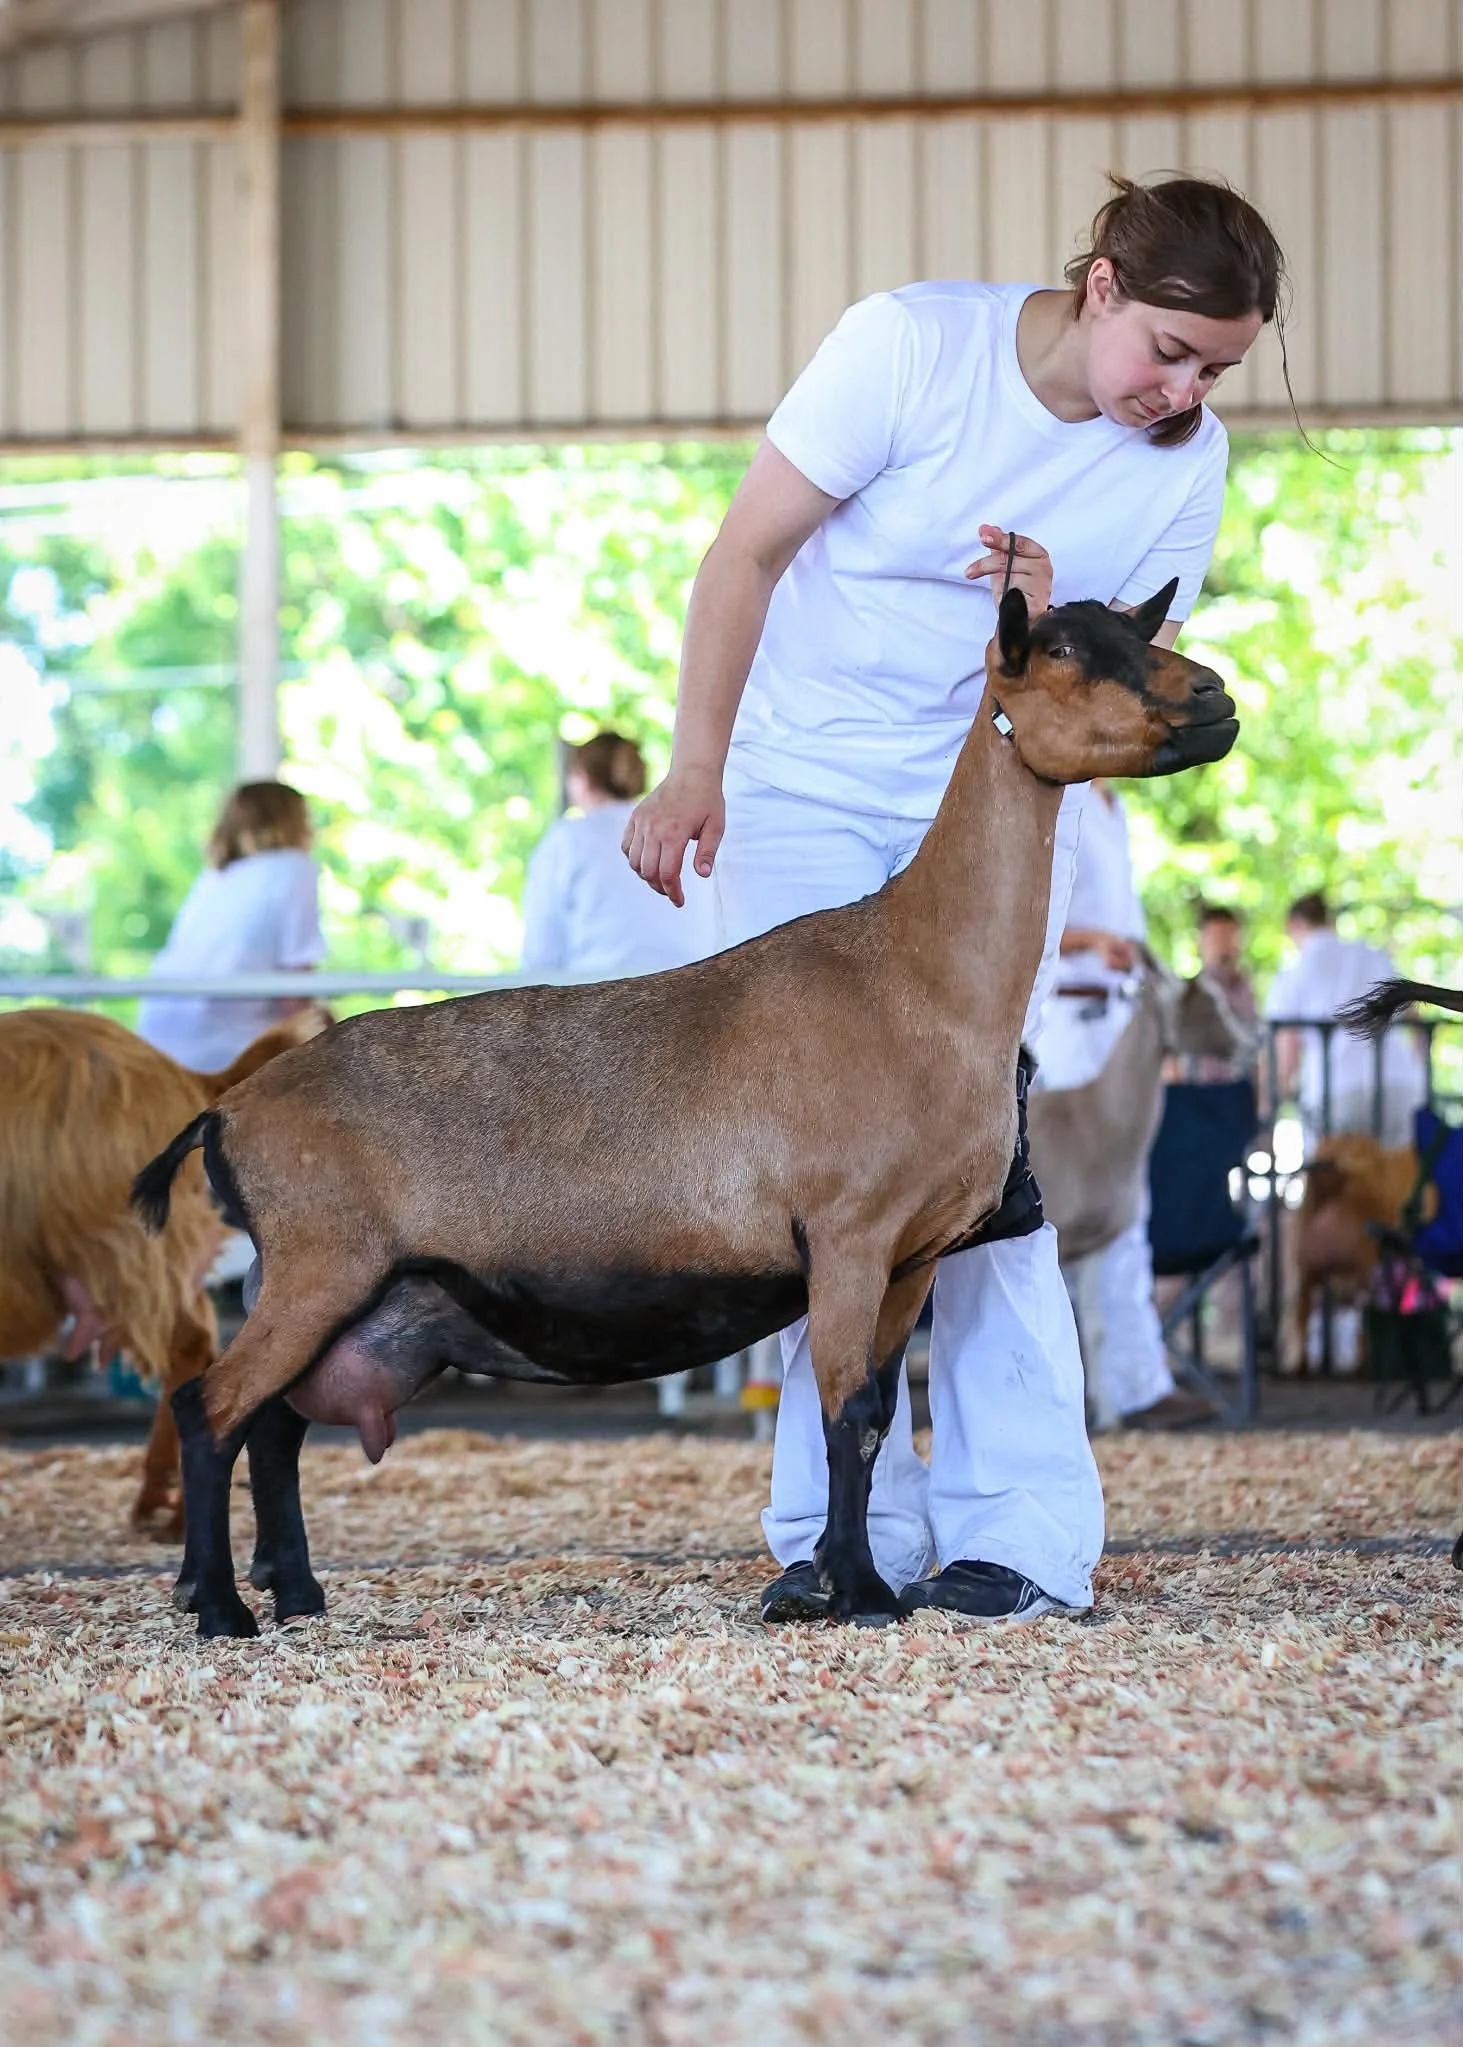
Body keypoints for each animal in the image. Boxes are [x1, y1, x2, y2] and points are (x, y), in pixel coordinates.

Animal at [135, 581, 1238, 1638]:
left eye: (1135, 629)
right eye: (1061, 650)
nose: (1215, 696)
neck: (916, 973)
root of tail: (226, 1110)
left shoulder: (913, 1254)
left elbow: (878, 1417)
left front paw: (835, 1584)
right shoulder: (847, 1235)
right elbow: (846, 1414)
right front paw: (860, 1593)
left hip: (351, 1291)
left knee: (275, 1423)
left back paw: (293, 1591)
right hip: (318, 1262)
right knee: (212, 1408)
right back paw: (220, 1606)